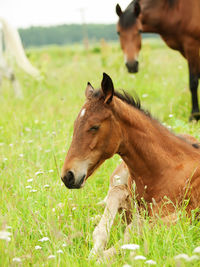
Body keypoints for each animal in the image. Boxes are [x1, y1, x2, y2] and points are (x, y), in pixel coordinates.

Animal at [61, 74, 200, 258]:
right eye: (76, 125)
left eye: (94, 126)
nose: (67, 176)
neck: (164, 170)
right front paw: (92, 255)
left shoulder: (178, 216)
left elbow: (131, 235)